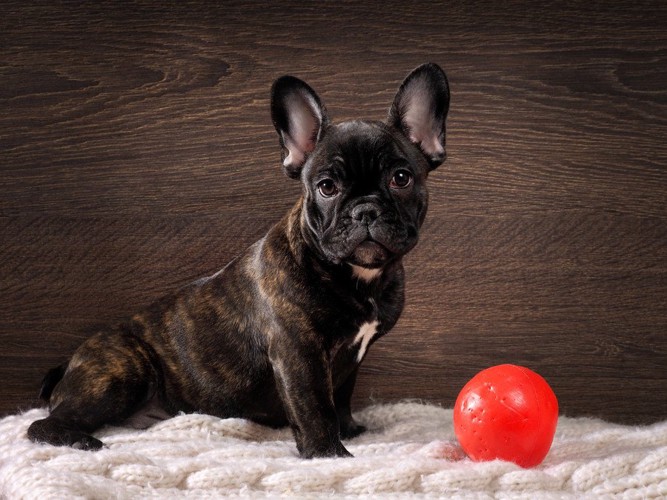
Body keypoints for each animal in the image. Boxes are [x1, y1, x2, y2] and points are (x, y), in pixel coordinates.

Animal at [28, 64, 452, 458]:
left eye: (401, 178)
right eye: (327, 187)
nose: (365, 210)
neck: (356, 276)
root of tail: (69, 363)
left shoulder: (351, 357)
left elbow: (341, 396)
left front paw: (349, 430)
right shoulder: (298, 353)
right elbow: (314, 406)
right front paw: (328, 453)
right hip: (123, 370)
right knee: (42, 423)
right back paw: (80, 440)